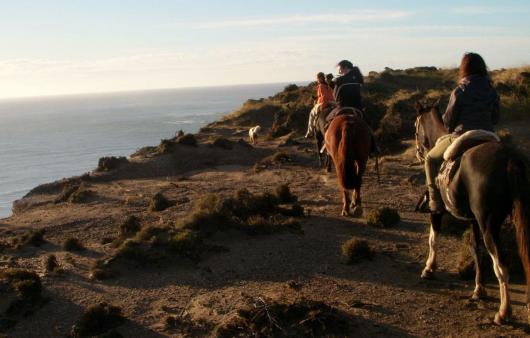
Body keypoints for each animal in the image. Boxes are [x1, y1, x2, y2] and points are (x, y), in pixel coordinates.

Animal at [412, 102, 528, 324]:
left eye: (415, 128)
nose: (419, 153)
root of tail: (507, 159)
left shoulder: (437, 211)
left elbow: (433, 238)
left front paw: (429, 268)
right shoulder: (474, 221)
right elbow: (476, 249)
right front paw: (478, 289)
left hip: (489, 225)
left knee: (501, 264)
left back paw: (503, 312)